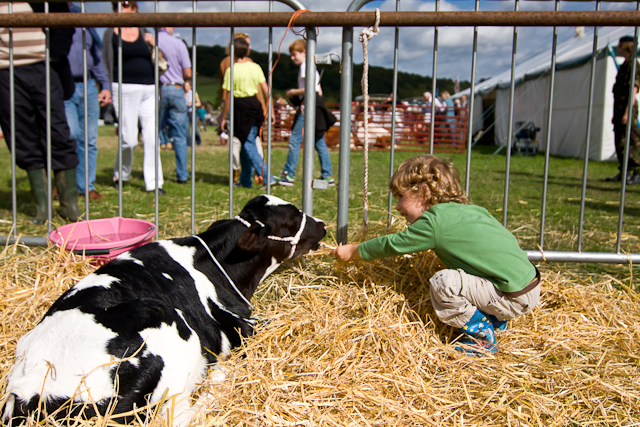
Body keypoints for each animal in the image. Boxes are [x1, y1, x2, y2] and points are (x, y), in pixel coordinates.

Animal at [2, 196, 324, 426]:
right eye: (293, 217)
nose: (321, 223)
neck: (216, 263)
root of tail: (31, 393)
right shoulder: (242, 325)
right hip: (167, 327)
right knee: (179, 414)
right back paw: (217, 382)